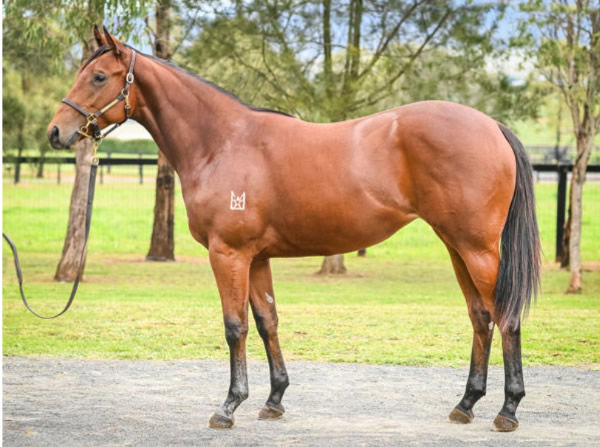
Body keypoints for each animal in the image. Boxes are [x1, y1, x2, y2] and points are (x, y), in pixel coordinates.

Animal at [49, 26, 540, 432]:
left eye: (98, 77)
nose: (56, 132)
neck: (222, 142)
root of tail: (491, 125)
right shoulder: (256, 258)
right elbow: (267, 322)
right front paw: (274, 399)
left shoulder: (228, 254)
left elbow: (235, 327)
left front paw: (229, 406)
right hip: (457, 247)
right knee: (481, 317)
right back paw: (466, 404)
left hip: (477, 249)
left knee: (505, 316)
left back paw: (508, 409)